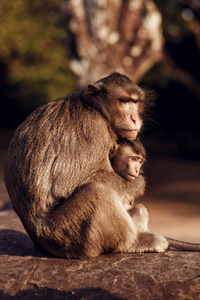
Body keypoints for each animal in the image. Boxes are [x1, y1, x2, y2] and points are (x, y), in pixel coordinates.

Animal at [4, 72, 170, 258]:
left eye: (134, 102)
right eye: (124, 101)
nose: (135, 119)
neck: (96, 108)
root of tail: (38, 242)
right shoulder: (93, 128)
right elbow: (69, 181)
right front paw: (137, 183)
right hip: (64, 235)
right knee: (97, 192)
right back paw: (132, 243)